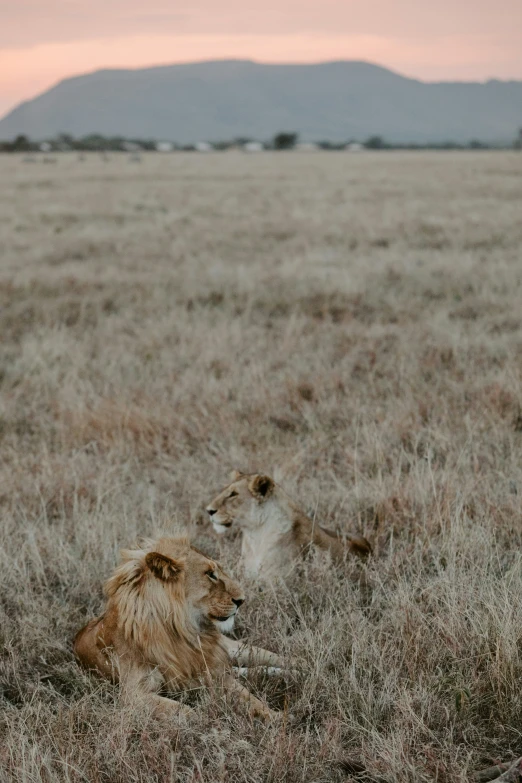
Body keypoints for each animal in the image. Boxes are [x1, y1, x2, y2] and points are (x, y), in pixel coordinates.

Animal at [73, 536, 284, 720]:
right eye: (210, 574)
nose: (242, 600)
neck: (180, 631)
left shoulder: (214, 673)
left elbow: (250, 698)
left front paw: (277, 717)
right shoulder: (134, 694)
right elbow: (185, 711)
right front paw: (209, 721)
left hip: (233, 649)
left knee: (268, 656)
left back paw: (291, 668)